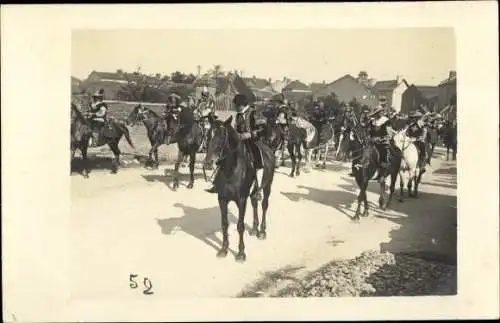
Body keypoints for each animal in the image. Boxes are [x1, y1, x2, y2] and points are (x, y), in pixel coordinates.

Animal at [204, 116, 278, 264]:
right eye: (208, 135)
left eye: (221, 137)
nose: (208, 163)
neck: (231, 170)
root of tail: (268, 150)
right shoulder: (222, 199)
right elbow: (224, 224)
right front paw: (224, 249)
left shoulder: (241, 200)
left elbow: (240, 225)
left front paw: (241, 253)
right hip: (254, 191)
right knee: (255, 202)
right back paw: (254, 229)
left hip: (267, 186)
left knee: (264, 205)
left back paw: (262, 231)